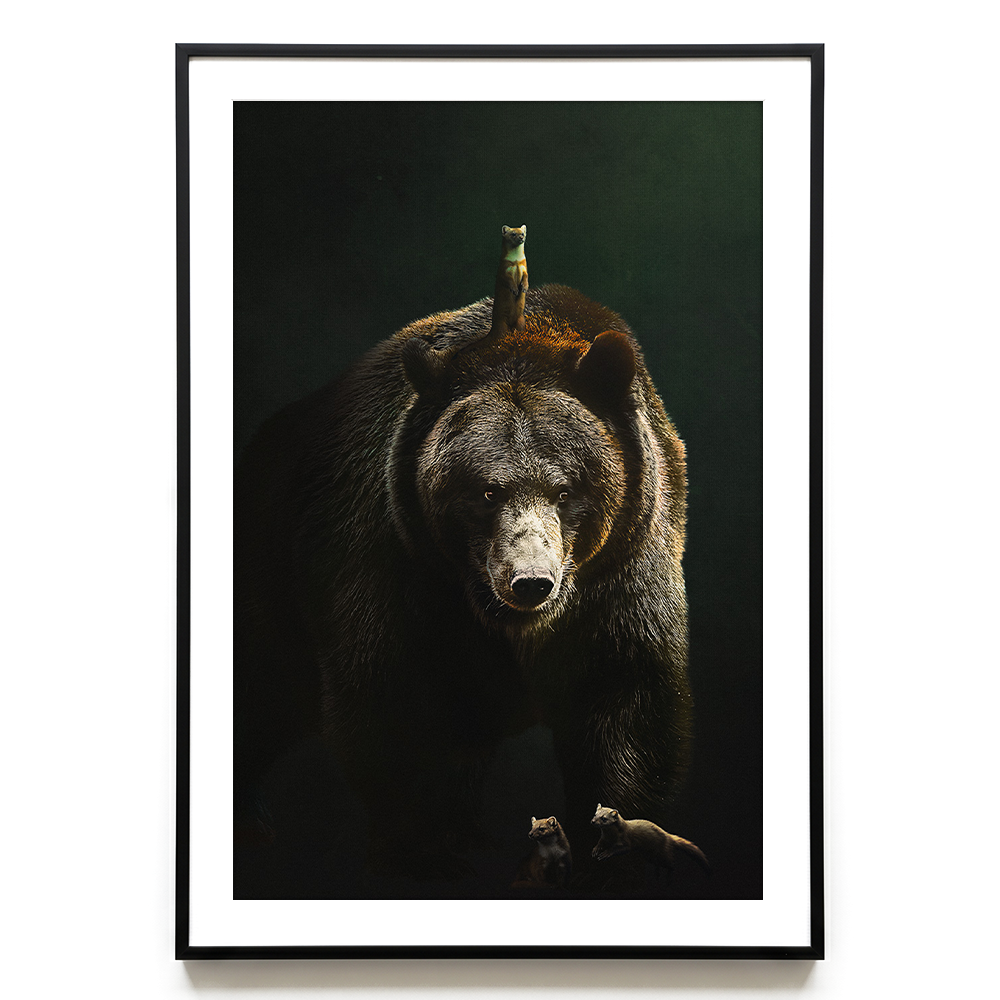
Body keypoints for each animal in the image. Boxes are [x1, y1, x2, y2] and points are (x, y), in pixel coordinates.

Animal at [234, 282, 692, 881]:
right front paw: (426, 850)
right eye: (486, 491)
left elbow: (627, 709)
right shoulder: (394, 565)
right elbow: (397, 712)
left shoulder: (620, 581)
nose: (530, 582)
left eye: (566, 490)